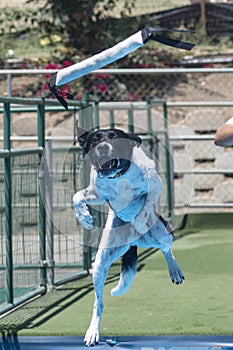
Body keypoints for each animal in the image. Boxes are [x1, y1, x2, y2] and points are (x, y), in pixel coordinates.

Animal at [73, 127, 184, 346]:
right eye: (94, 140)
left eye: (115, 138)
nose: (103, 148)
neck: (116, 176)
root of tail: (135, 240)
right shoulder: (97, 194)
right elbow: (77, 196)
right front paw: (85, 218)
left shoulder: (155, 185)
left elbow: (145, 203)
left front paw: (139, 219)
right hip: (101, 263)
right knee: (98, 303)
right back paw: (93, 331)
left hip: (162, 233)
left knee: (166, 248)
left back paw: (174, 270)